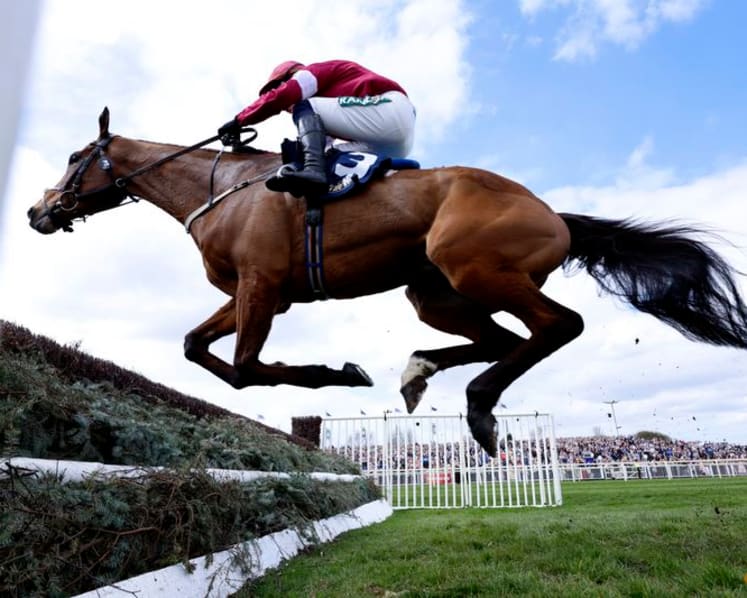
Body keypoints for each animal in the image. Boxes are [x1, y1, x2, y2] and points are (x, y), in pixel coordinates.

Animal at [27, 107, 747, 456]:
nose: (38, 211)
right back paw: (419, 371)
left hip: (471, 264)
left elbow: (244, 368)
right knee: (497, 340)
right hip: (435, 292)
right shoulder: (257, 294)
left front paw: (336, 374)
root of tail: (552, 213)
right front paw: (349, 373)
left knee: (555, 326)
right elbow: (198, 350)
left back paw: (478, 408)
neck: (221, 189)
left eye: (73, 156)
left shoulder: (261, 286)